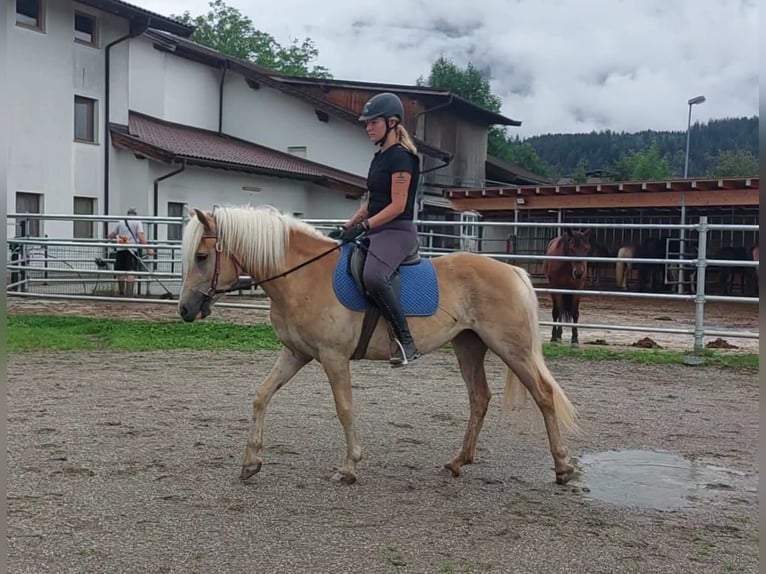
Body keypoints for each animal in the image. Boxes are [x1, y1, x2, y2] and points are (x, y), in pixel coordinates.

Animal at [177, 205, 580, 488]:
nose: (184, 310)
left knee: (543, 395)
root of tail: (512, 270)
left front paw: (349, 467)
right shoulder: (297, 353)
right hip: (469, 346)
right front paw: (251, 463)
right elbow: (261, 396)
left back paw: (562, 467)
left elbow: (344, 409)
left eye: (201, 256)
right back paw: (457, 462)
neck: (303, 276)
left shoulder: (333, 357)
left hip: (512, 348)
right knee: (479, 398)